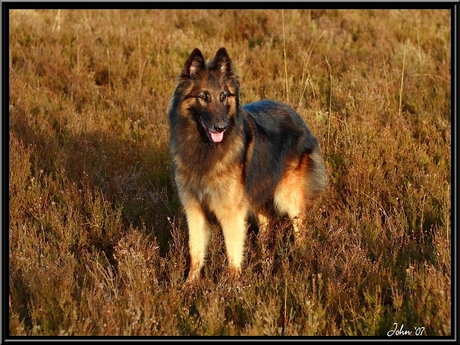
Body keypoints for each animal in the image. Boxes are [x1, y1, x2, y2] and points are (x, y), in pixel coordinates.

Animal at [167, 46, 326, 282]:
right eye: (204, 96)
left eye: (223, 96)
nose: (221, 127)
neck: (204, 148)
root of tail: (296, 114)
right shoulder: (194, 210)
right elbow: (195, 253)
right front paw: (188, 285)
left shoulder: (231, 214)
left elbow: (233, 257)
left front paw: (232, 286)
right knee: (266, 226)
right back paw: (264, 260)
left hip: (288, 197)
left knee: (300, 228)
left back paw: (299, 257)